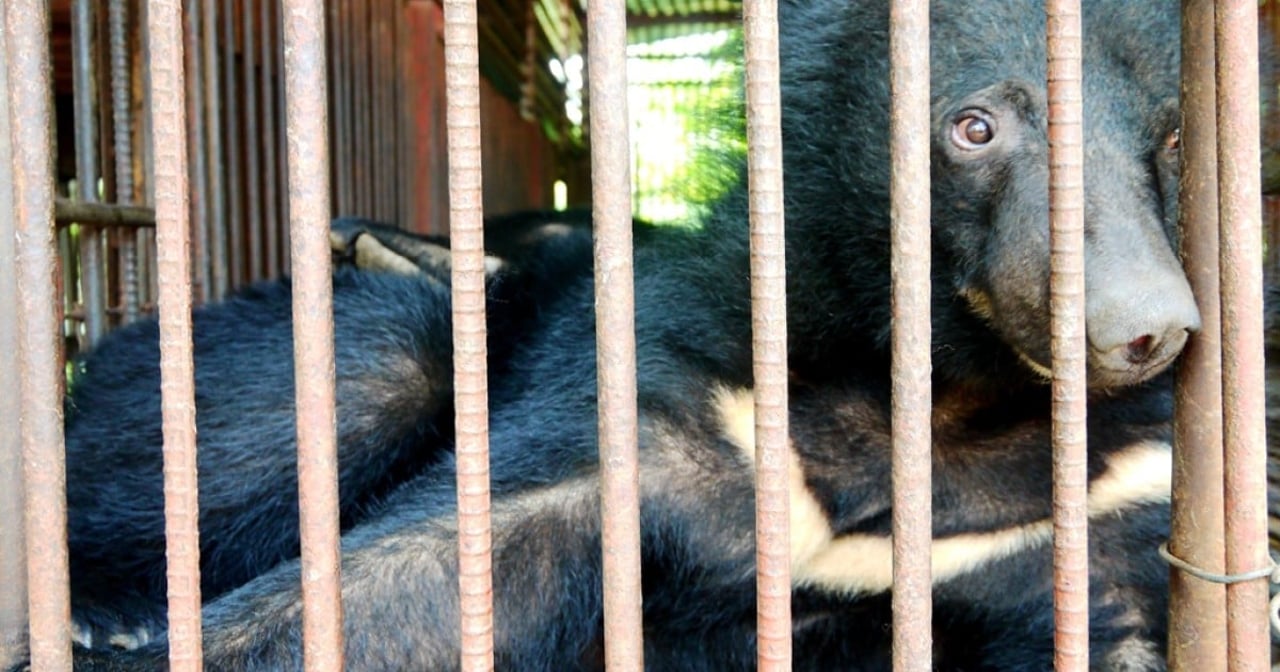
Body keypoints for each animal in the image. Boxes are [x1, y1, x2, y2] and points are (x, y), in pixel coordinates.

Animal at [40, 0, 1239, 665]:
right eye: (974, 127)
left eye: (1173, 137)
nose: (1144, 327)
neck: (937, 396)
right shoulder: (673, 386)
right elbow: (415, 574)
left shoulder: (1100, 495)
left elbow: (1119, 623)